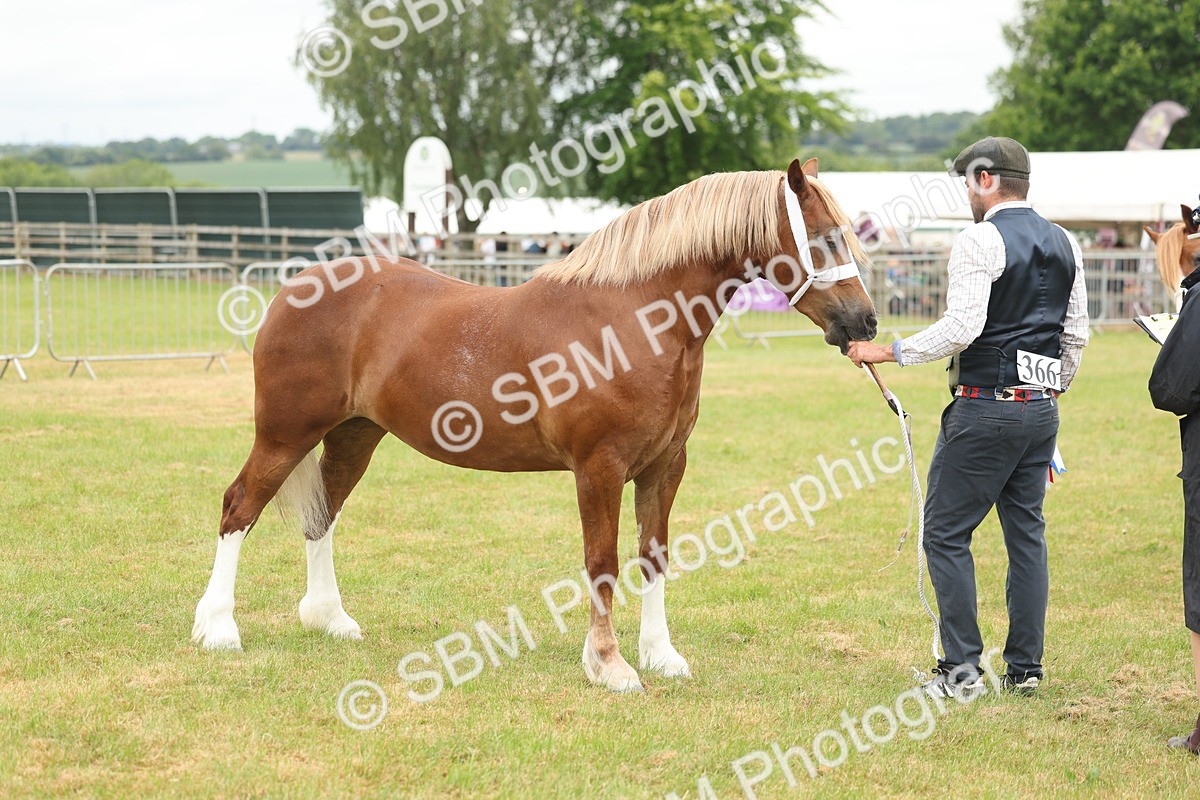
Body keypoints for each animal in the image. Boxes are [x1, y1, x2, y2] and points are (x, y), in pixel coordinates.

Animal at [192, 158, 878, 692]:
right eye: (824, 239)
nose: (865, 323)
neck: (634, 320)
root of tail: (296, 288)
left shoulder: (665, 466)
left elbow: (653, 557)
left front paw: (662, 657)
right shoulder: (599, 468)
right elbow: (602, 561)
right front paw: (609, 665)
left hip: (354, 436)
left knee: (322, 514)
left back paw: (330, 620)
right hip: (285, 434)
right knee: (239, 506)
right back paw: (218, 629)